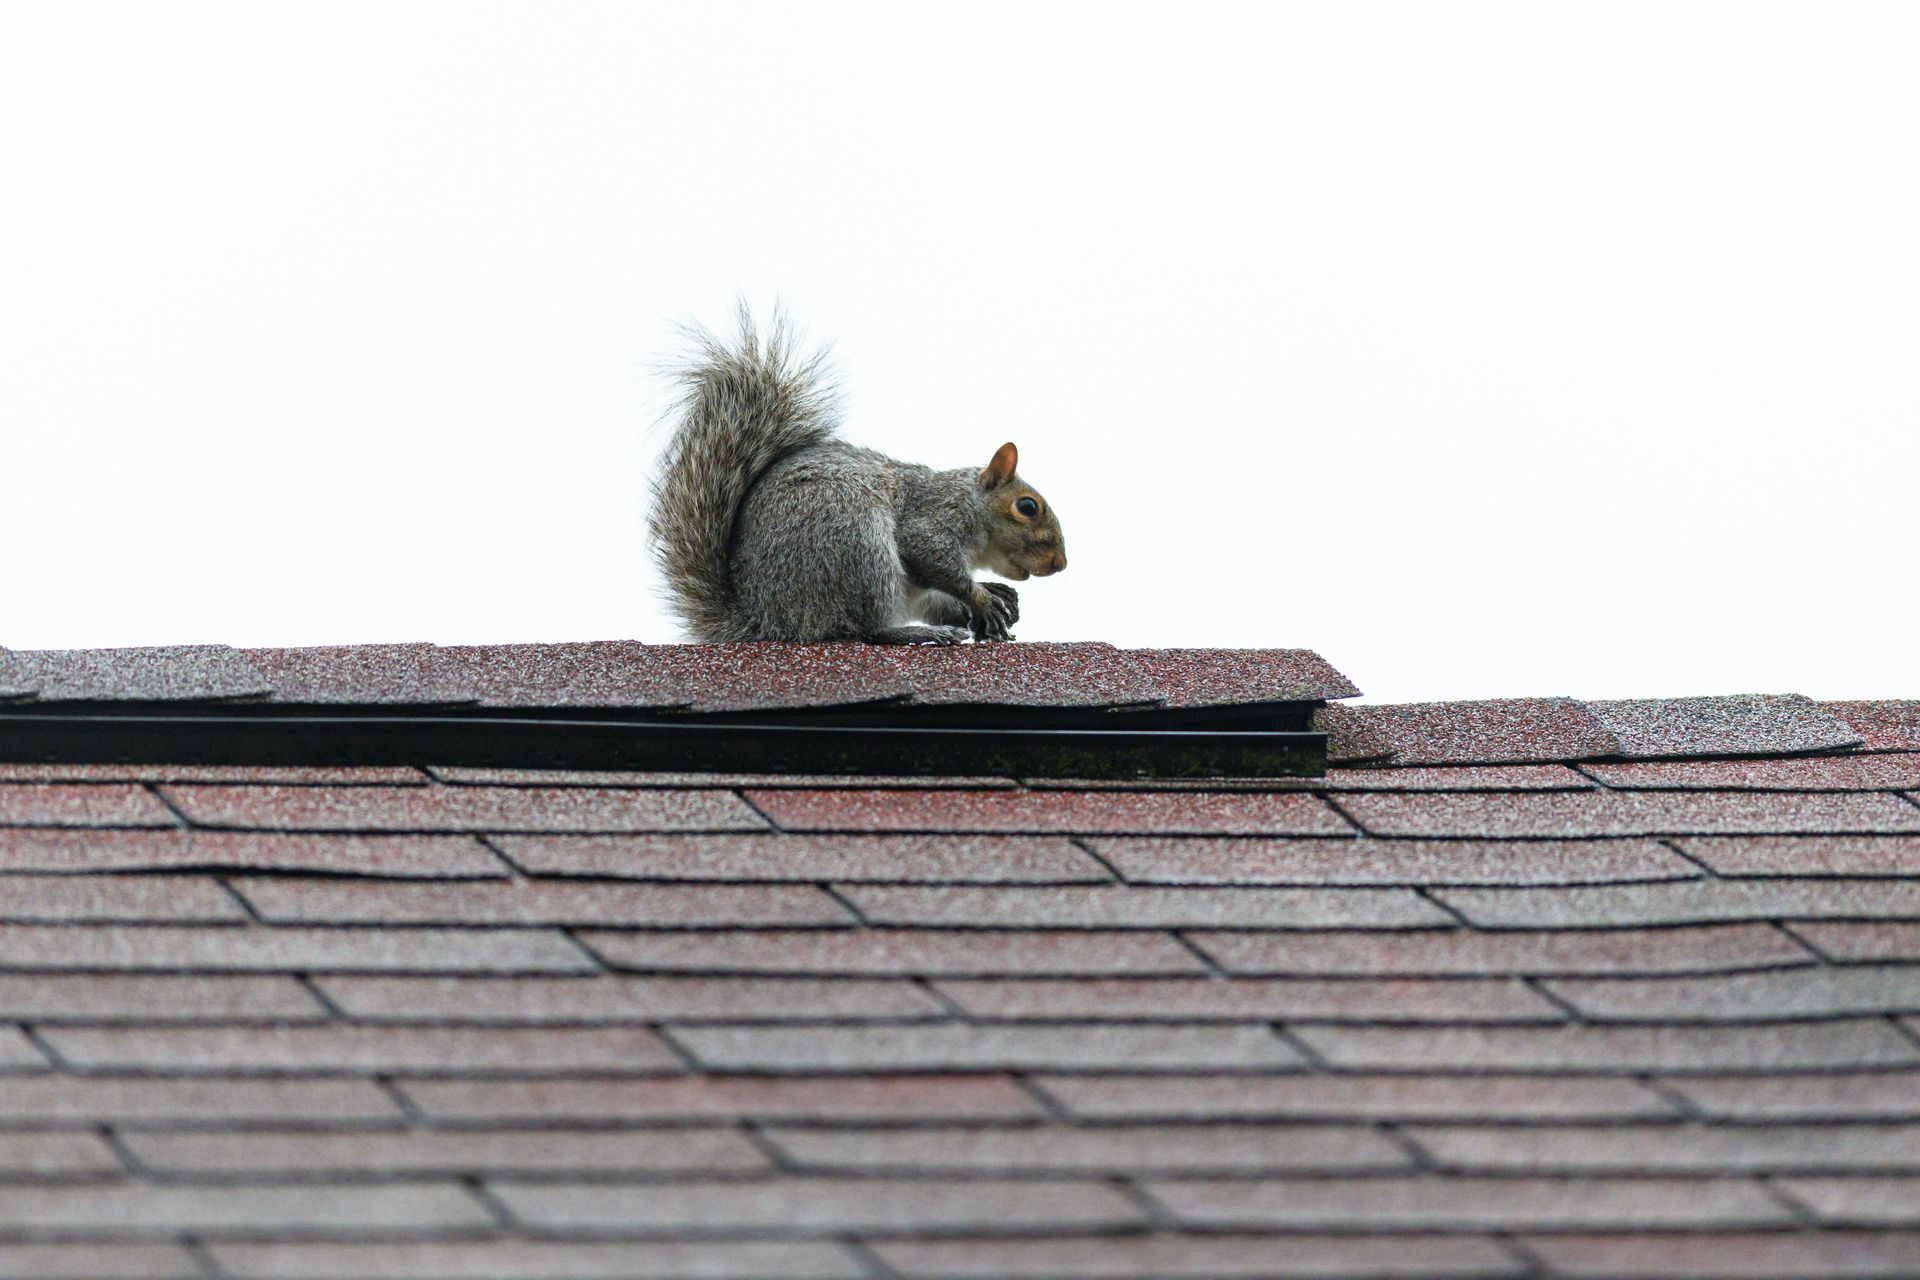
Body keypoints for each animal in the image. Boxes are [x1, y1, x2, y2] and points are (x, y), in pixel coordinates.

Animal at [648, 312, 1068, 645]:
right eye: (1027, 507)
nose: (1059, 564)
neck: (970, 501)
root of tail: (768, 620)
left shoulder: (919, 591)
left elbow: (934, 597)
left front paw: (993, 602)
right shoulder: (934, 515)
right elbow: (928, 552)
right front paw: (981, 598)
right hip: (857, 538)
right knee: (866, 628)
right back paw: (917, 633)